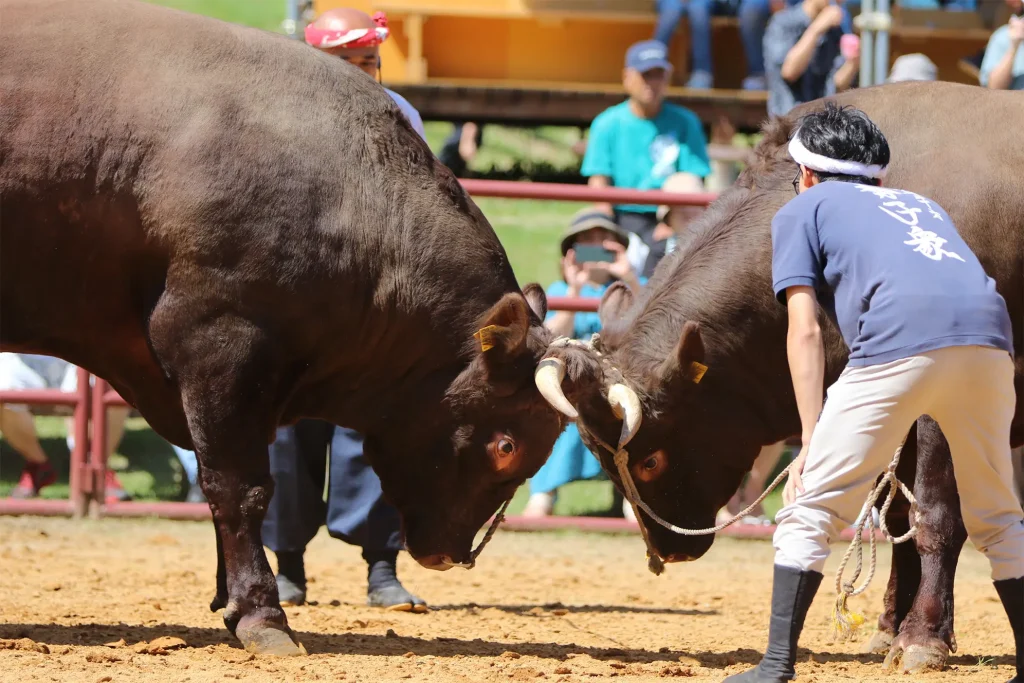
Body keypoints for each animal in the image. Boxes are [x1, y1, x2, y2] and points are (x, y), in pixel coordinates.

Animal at [2, 0, 569, 655]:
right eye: (506, 447)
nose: (453, 556)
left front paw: (229, 599)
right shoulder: (222, 346)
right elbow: (240, 488)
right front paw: (261, 614)